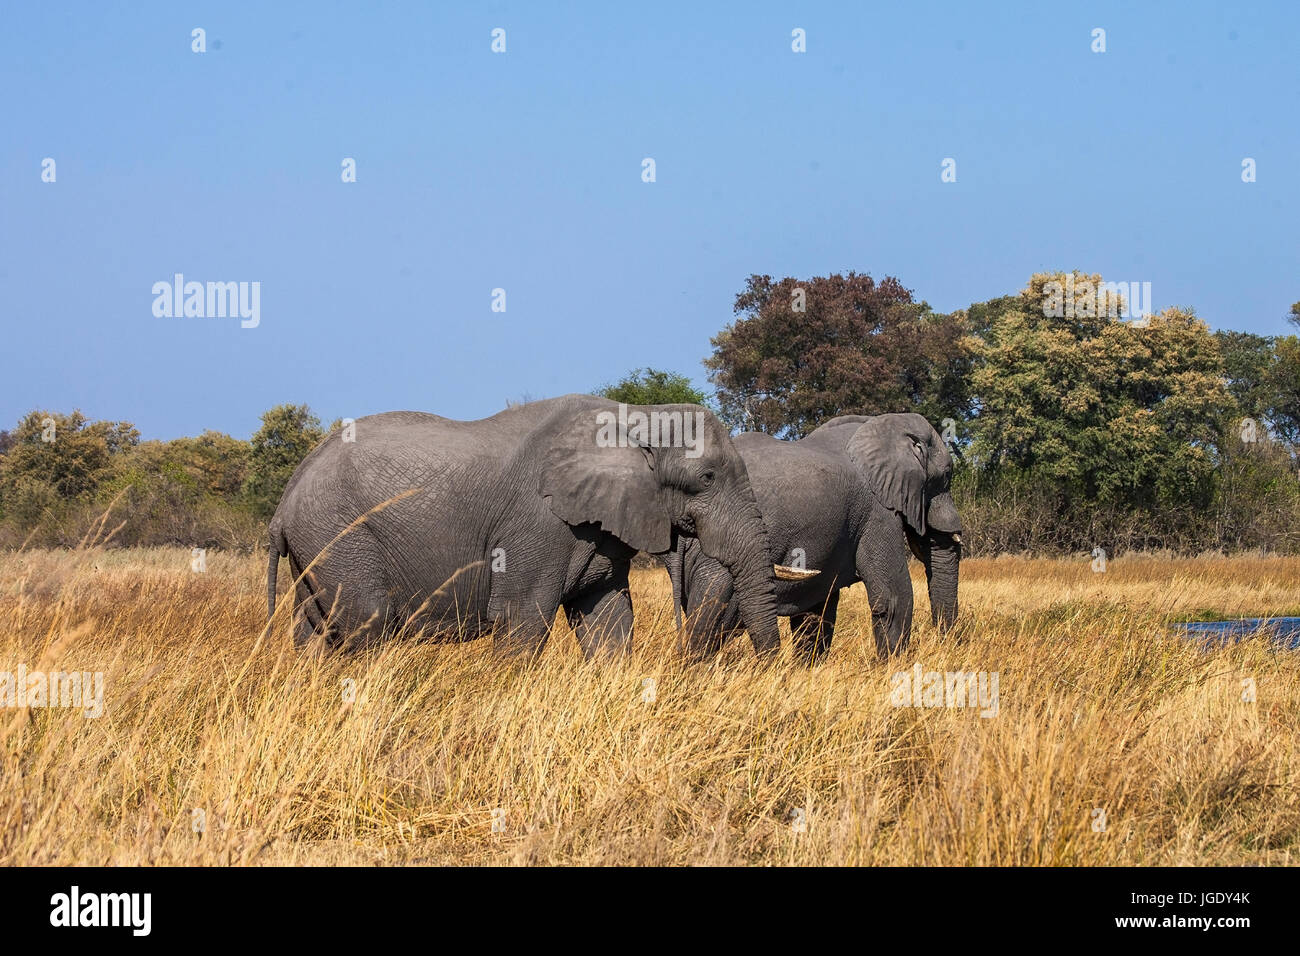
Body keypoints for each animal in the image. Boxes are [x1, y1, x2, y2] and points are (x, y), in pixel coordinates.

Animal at [266, 395, 790, 658]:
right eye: (707, 478)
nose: (767, 668)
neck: (635, 416)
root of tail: (285, 501)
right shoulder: (537, 523)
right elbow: (521, 618)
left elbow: (608, 621)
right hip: (340, 534)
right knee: (368, 623)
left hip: (317, 546)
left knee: (312, 634)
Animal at [665, 411, 961, 665]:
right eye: (946, 476)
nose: (945, 644)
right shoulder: (877, 511)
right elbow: (893, 595)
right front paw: (891, 669)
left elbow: (817, 608)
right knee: (715, 616)